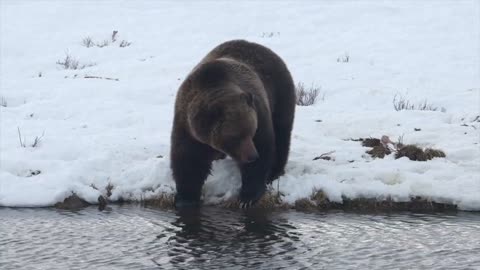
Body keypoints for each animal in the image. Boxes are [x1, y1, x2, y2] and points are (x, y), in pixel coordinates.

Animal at [171, 40, 294, 208]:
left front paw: (247, 197)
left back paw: (274, 172)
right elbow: (188, 159)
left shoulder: (259, 113)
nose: (252, 155)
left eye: (251, 132)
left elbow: (264, 148)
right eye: (235, 136)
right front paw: (186, 198)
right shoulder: (185, 124)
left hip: (279, 94)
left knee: (282, 133)